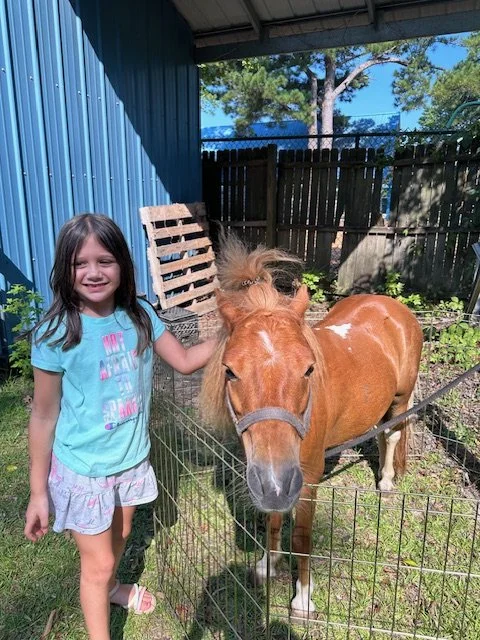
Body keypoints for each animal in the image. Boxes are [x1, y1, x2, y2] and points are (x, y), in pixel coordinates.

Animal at [201, 238, 423, 617]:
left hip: (401, 398)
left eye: (308, 368)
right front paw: (267, 565)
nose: (275, 483)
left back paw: (386, 481)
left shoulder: (306, 479)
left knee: (392, 435)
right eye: (229, 371)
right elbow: (273, 520)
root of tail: (391, 305)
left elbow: (302, 537)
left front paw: (303, 598)